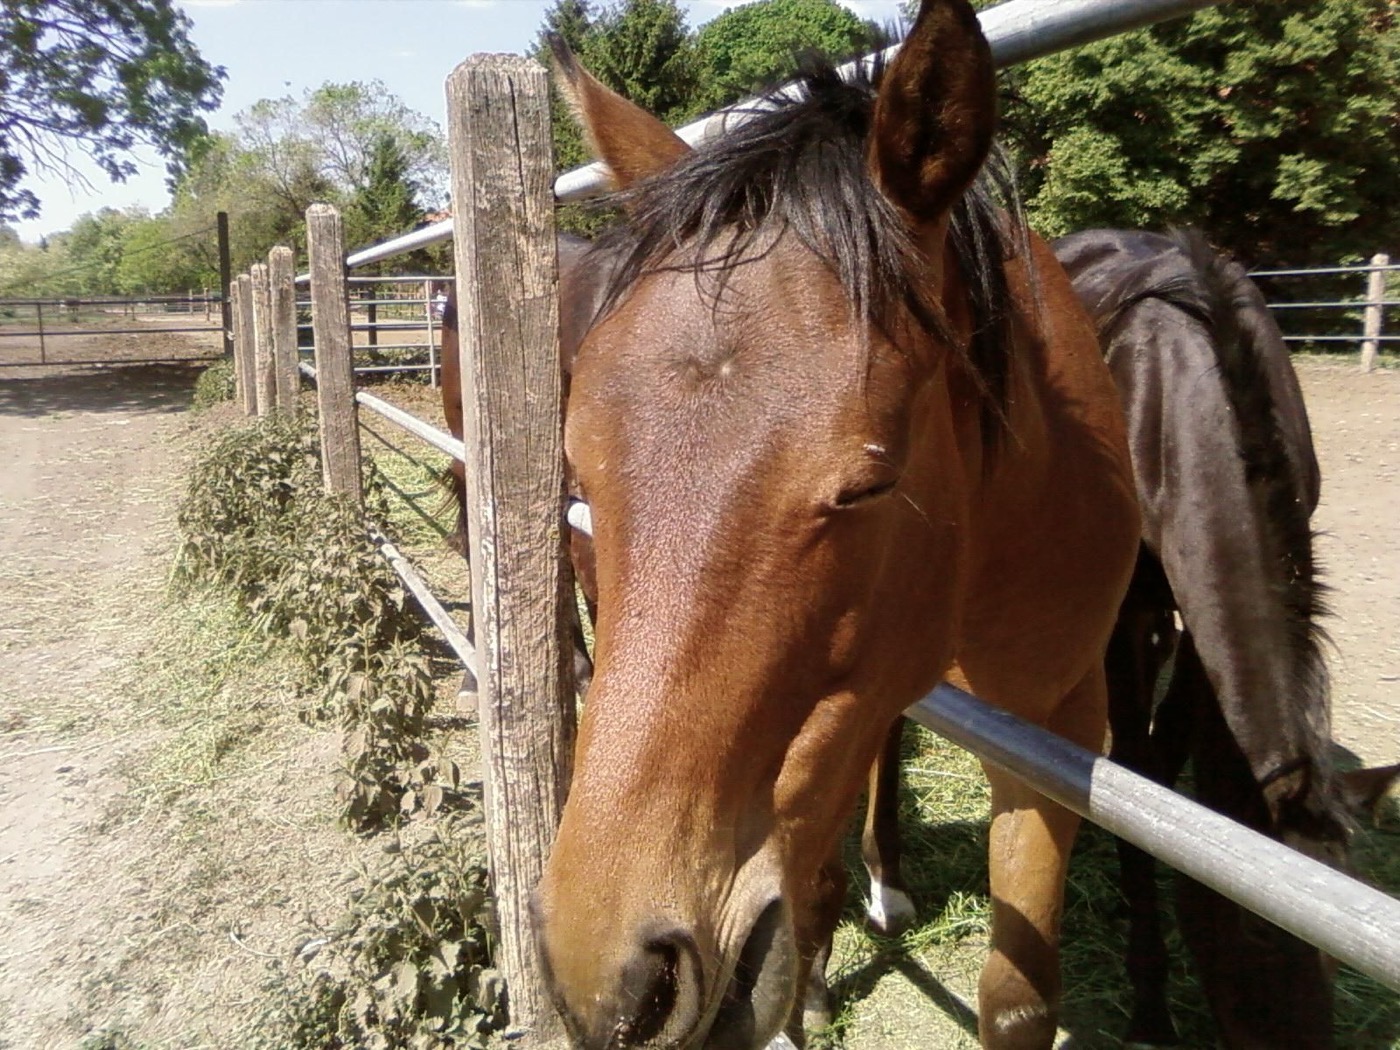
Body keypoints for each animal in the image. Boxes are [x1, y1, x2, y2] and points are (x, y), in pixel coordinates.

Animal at [526, 2, 1141, 1046]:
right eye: (585, 467)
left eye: (867, 487)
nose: (613, 982)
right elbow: (807, 877)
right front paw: (807, 986)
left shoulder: (1059, 724)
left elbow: (1016, 996)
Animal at [863, 228, 1400, 1049]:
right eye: (1258, 930)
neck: (1184, 398)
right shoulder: (1120, 618)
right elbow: (1140, 770)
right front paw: (1149, 996)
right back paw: (888, 884)